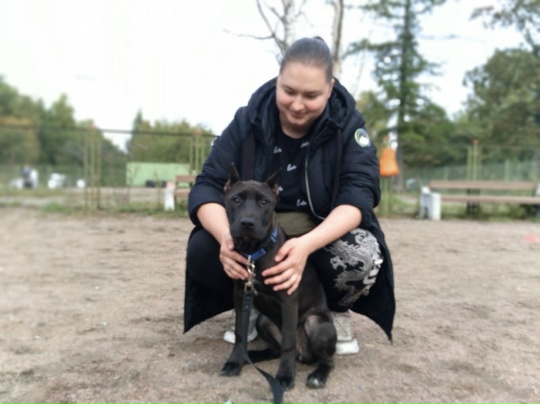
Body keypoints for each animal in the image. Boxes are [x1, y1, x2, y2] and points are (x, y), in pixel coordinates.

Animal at [220, 163, 337, 390]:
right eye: (236, 199)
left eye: (264, 202)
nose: (247, 222)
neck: (254, 253)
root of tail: (303, 354)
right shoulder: (240, 295)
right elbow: (240, 333)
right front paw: (235, 361)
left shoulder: (288, 299)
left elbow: (288, 344)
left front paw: (284, 376)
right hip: (264, 321)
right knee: (275, 349)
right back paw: (250, 357)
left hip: (316, 324)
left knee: (325, 360)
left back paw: (318, 375)